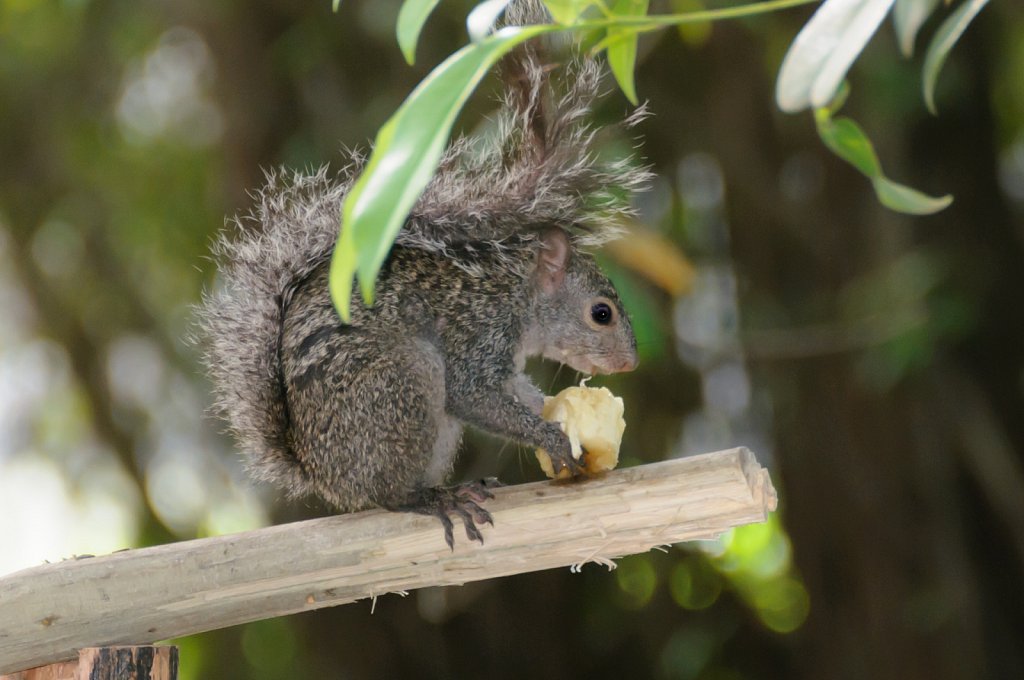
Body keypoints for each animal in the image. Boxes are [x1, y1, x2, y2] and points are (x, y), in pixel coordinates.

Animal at [197, 2, 649, 548]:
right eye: (601, 314)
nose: (629, 364)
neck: (515, 295)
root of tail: (323, 477)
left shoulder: (505, 362)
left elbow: (519, 393)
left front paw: (553, 411)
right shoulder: (474, 334)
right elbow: (474, 396)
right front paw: (552, 437)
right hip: (403, 383)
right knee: (390, 494)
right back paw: (434, 498)